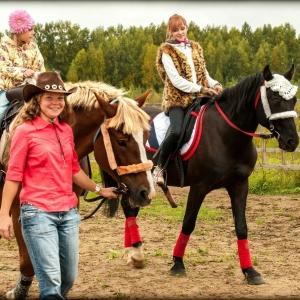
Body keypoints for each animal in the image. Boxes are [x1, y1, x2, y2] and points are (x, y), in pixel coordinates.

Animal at [0, 81, 155, 298]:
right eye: (121, 141)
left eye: (146, 137)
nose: (146, 192)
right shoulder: (18, 210)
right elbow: (28, 261)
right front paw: (18, 291)